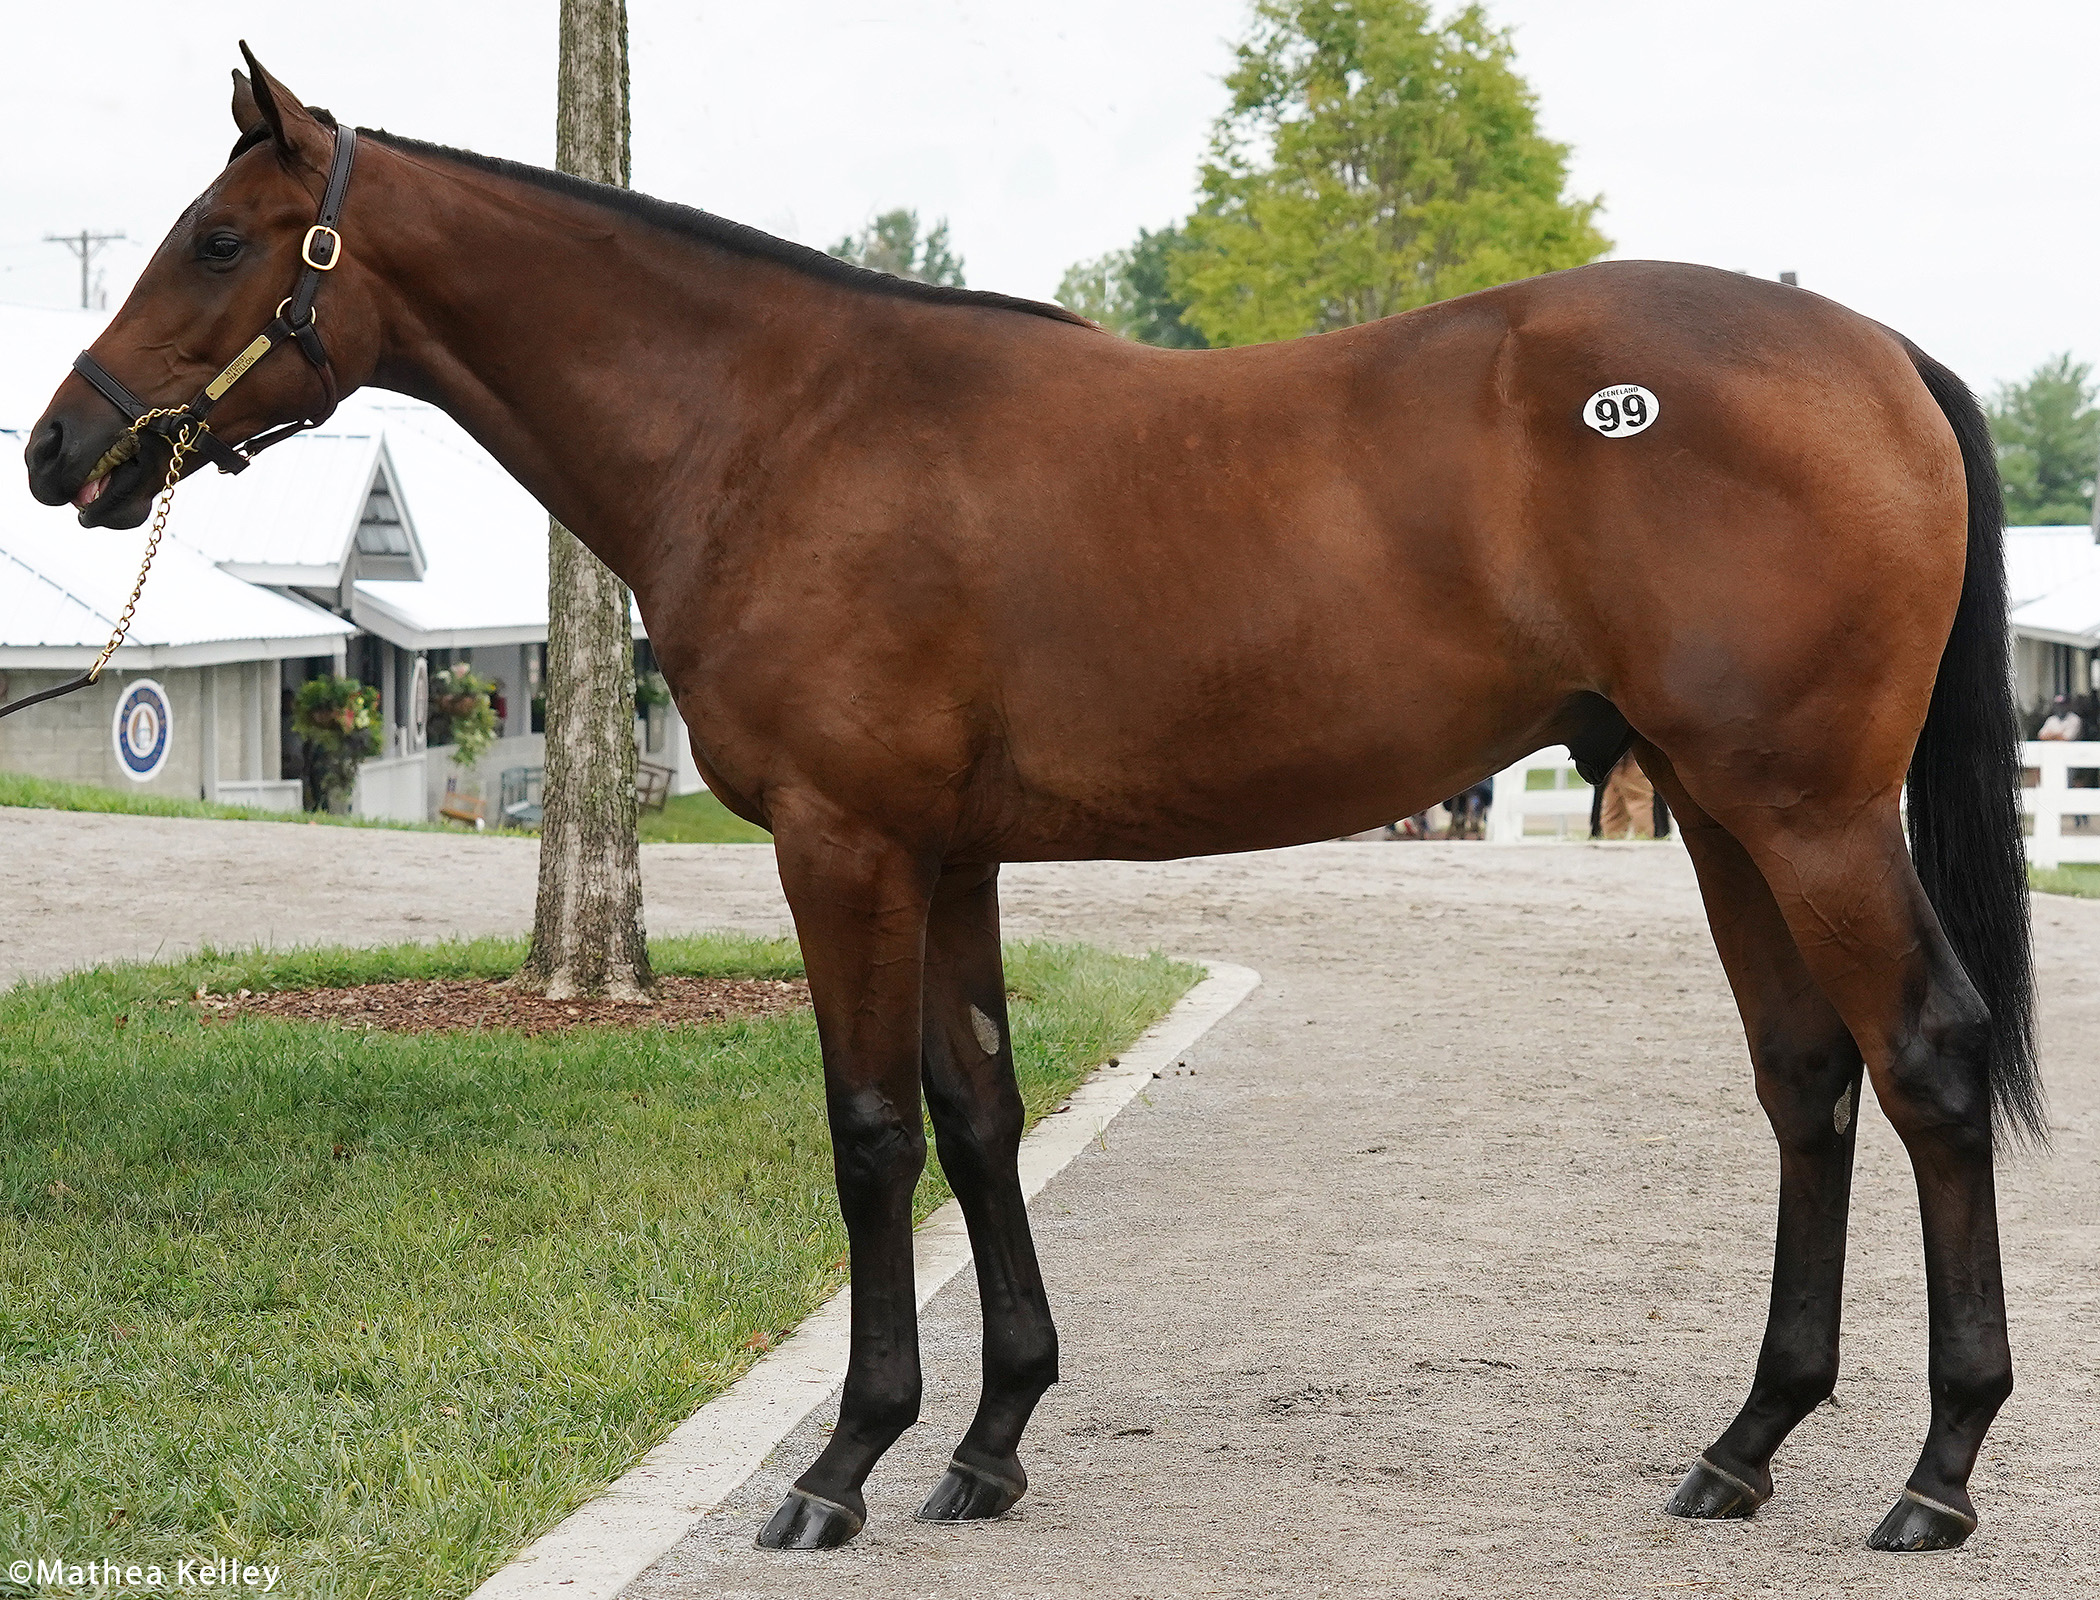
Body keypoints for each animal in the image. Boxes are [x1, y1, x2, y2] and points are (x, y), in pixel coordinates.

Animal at [24, 53, 2041, 1562]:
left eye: (219, 238)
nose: (62, 449)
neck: (776, 424)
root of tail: (1877, 353)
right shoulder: (952, 854)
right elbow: (978, 1113)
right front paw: (987, 1443)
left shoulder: (843, 846)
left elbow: (867, 1135)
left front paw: (844, 1465)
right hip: (1720, 810)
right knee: (1808, 1082)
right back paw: (1744, 1446)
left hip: (1808, 813)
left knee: (1928, 1064)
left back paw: (1936, 1477)